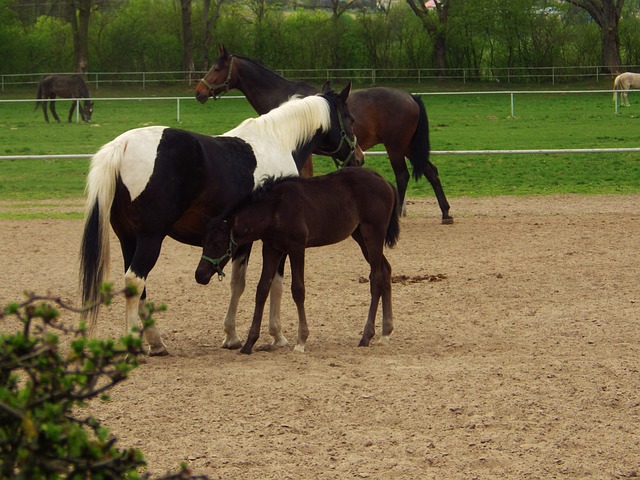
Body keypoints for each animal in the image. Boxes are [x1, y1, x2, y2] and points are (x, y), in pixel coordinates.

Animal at [79, 81, 360, 356]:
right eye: (350, 118)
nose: (358, 157)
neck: (278, 141)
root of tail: (122, 145)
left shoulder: (242, 239)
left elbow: (238, 282)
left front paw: (232, 336)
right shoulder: (273, 240)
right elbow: (272, 284)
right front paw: (276, 336)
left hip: (128, 238)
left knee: (136, 285)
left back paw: (156, 343)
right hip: (150, 238)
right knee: (136, 280)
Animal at [194, 168, 400, 352]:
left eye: (218, 243)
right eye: (203, 242)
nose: (200, 275)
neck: (274, 208)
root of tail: (385, 181)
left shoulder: (297, 247)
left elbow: (298, 290)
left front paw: (301, 341)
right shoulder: (272, 248)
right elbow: (262, 289)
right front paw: (249, 343)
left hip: (373, 234)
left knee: (376, 278)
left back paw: (366, 336)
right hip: (360, 236)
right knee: (385, 271)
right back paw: (386, 333)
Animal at [195, 45, 456, 225]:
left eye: (216, 68)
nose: (199, 92)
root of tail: (411, 96)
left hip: (396, 148)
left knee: (402, 176)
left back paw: (401, 211)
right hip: (409, 147)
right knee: (432, 171)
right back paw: (445, 212)